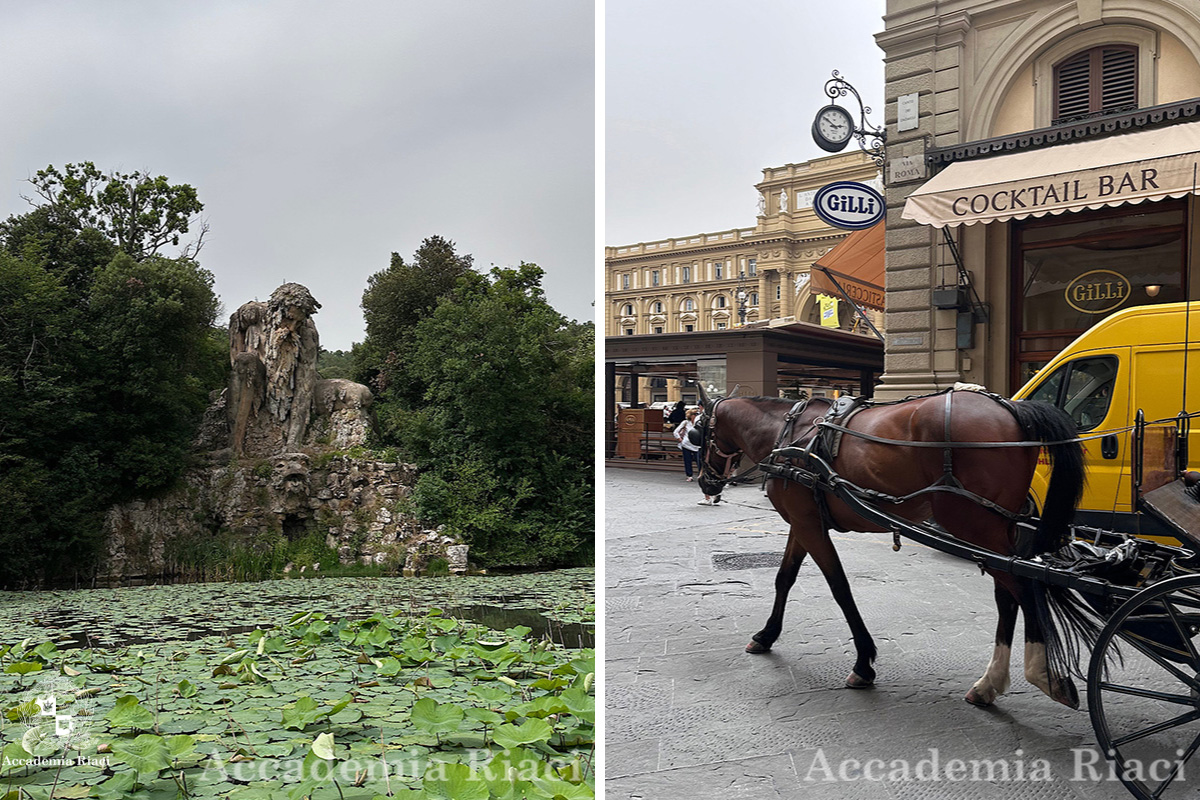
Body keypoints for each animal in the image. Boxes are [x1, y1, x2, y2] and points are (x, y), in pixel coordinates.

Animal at [696, 391, 1099, 710]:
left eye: (698, 431)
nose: (704, 481)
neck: (790, 435)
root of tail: (1013, 408)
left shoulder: (808, 525)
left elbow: (839, 588)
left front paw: (863, 662)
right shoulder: (803, 521)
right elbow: (784, 578)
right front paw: (766, 635)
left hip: (974, 526)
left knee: (1026, 587)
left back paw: (1044, 675)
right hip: (995, 530)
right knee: (1008, 595)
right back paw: (989, 684)